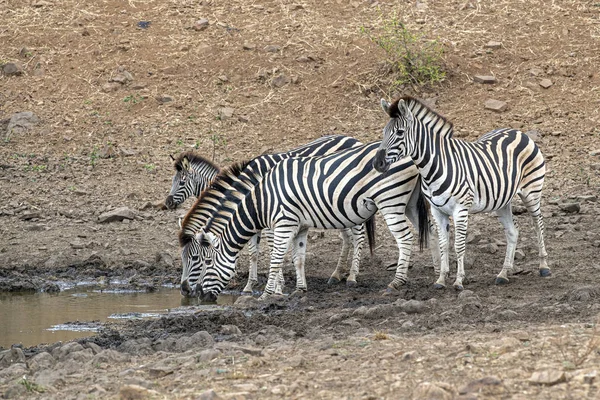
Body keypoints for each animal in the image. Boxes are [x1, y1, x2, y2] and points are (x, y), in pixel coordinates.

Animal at [178, 140, 436, 300]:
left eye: (202, 261)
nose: (192, 293)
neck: (260, 195)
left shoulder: (280, 223)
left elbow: (275, 257)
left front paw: (270, 292)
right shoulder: (298, 225)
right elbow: (296, 257)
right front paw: (297, 289)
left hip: (389, 200)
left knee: (401, 238)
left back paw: (391, 281)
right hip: (409, 202)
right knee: (431, 230)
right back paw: (438, 275)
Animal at [372, 97, 552, 290]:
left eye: (400, 132)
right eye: (384, 132)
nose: (377, 164)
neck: (435, 166)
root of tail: (516, 131)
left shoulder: (460, 209)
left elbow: (458, 245)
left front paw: (459, 281)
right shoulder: (437, 211)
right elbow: (444, 244)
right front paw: (441, 279)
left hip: (532, 191)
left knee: (538, 224)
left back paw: (543, 266)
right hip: (502, 200)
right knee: (512, 231)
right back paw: (503, 274)